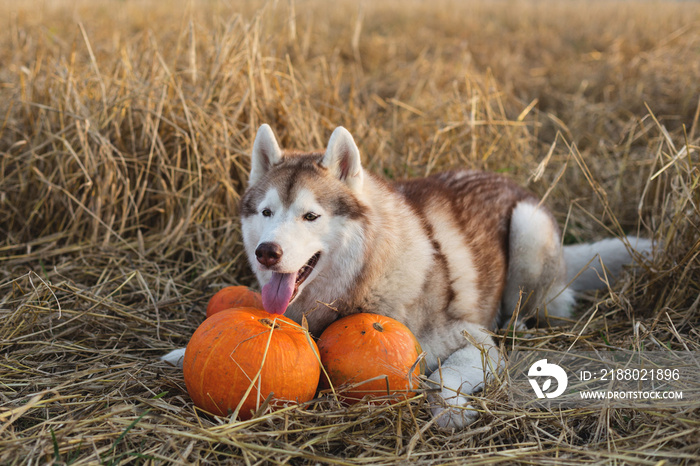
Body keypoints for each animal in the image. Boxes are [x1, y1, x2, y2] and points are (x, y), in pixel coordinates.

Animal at [164, 124, 652, 430]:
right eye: (266, 213)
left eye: (310, 216)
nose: (267, 253)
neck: (364, 278)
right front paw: (180, 352)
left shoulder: (476, 342)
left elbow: (439, 377)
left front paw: (451, 409)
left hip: (528, 230)